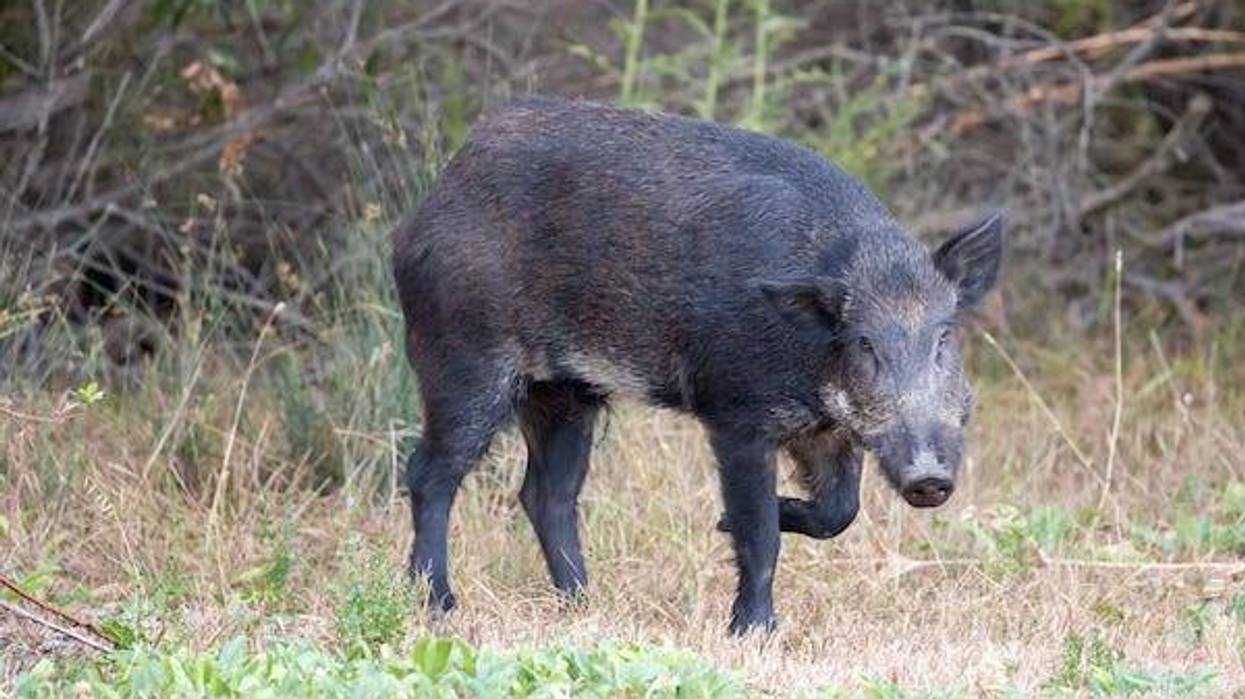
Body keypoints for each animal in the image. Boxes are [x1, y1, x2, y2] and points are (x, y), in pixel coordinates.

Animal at [391, 97, 1003, 634]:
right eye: (863, 343)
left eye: (944, 335)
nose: (929, 477)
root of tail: (430, 203)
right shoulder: (736, 415)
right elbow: (759, 532)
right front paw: (752, 629)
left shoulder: (827, 432)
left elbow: (839, 512)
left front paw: (725, 526)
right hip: (464, 359)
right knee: (429, 473)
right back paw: (440, 606)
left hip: (564, 391)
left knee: (547, 494)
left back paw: (586, 607)